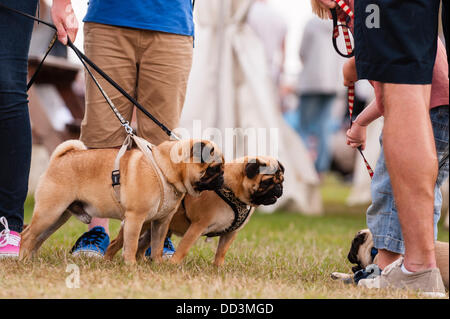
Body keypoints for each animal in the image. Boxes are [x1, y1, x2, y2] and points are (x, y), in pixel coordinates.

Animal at [21, 139, 225, 264]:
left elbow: (157, 245)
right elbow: (132, 243)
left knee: (38, 237)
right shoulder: (136, 217)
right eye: (214, 169)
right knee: (27, 234)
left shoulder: (161, 221)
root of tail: (59, 159)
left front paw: (158, 264)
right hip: (50, 212)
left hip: (58, 216)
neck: (164, 168)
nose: (223, 177)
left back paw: (32, 259)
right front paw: (131, 265)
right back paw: (22, 257)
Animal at [105, 156, 284, 266]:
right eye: (266, 182)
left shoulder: (230, 233)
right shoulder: (198, 225)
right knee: (117, 243)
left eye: (282, 180)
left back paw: (143, 261)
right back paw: (107, 260)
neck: (233, 189)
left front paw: (218, 267)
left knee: (142, 245)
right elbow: (184, 247)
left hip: (157, 228)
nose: (279, 188)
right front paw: (174, 264)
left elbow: (221, 251)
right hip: (139, 224)